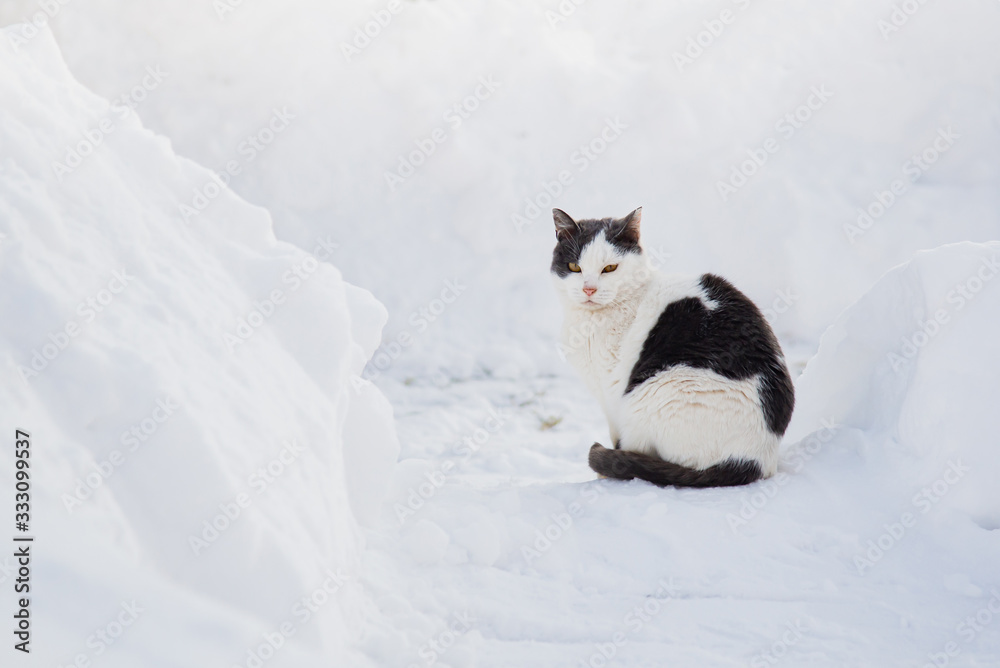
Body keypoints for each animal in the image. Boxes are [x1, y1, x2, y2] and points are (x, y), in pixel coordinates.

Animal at [552, 206, 792, 488]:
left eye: (610, 268)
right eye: (574, 267)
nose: (588, 289)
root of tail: (754, 460)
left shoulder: (612, 393)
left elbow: (616, 435)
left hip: (650, 393)